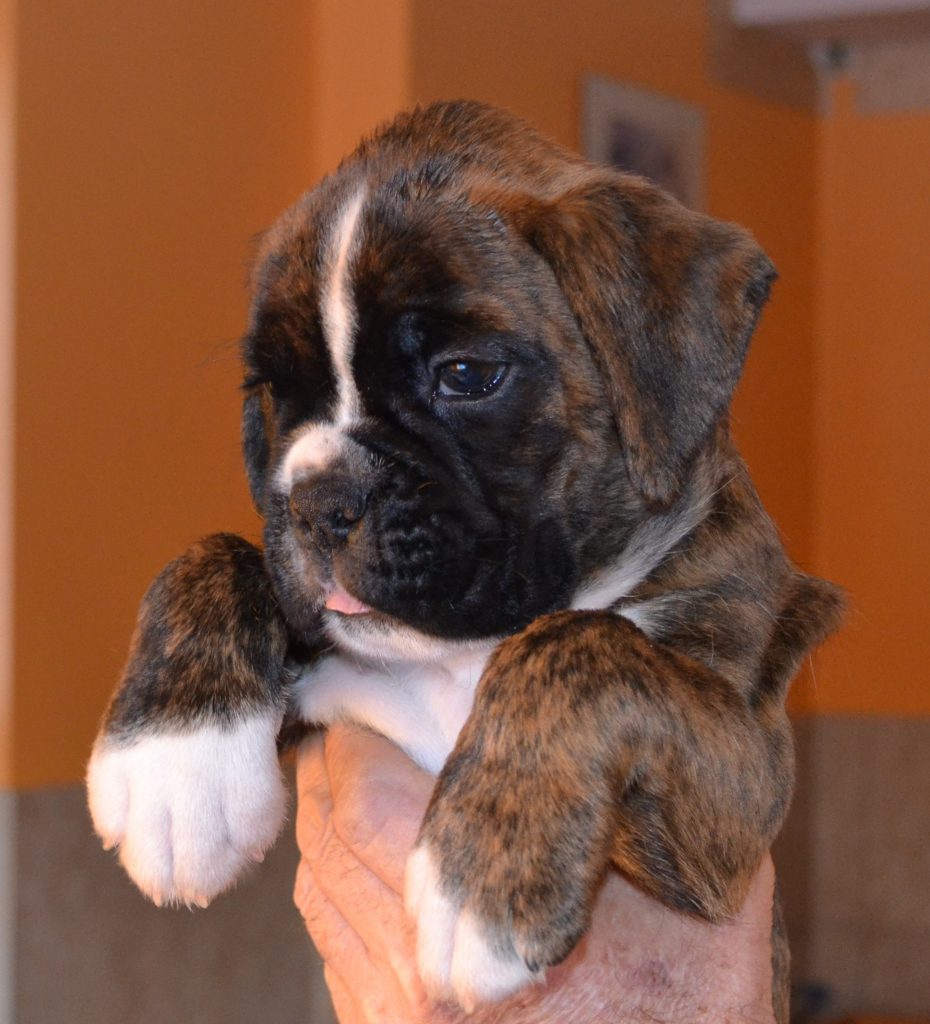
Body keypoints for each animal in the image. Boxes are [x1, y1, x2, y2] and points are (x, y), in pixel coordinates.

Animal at [87, 101, 843, 1019]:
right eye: (273, 394)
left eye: (466, 375)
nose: (315, 501)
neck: (454, 661)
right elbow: (216, 550)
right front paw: (174, 764)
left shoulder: (741, 782)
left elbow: (582, 645)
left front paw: (482, 876)